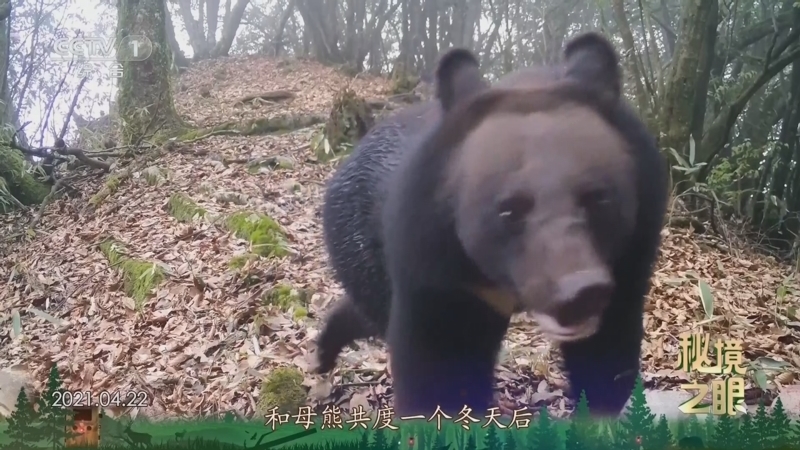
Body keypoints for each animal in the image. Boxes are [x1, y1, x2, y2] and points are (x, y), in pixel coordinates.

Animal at [316, 32, 668, 419]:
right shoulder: (434, 263)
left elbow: (609, 348)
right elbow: (438, 363)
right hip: (356, 237)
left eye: (598, 197)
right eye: (509, 210)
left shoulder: (630, 254)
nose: (580, 293)